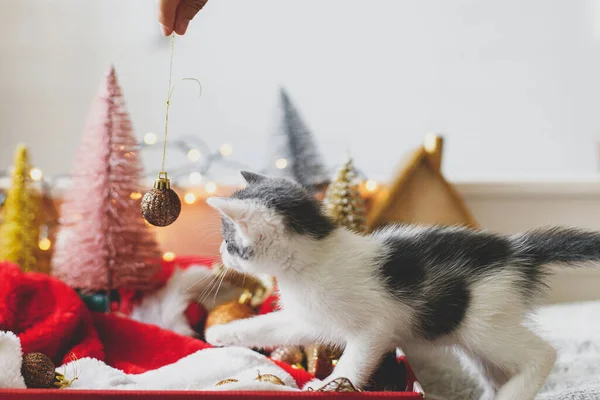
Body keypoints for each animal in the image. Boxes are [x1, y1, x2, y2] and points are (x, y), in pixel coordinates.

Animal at [204, 170, 596, 398]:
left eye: (229, 240)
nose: (220, 253)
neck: (314, 258)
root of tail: (514, 248)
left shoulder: (374, 327)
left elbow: (356, 359)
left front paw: (329, 385)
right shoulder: (310, 317)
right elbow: (273, 325)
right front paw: (222, 334)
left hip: (483, 322)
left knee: (542, 354)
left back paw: (514, 390)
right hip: (474, 336)